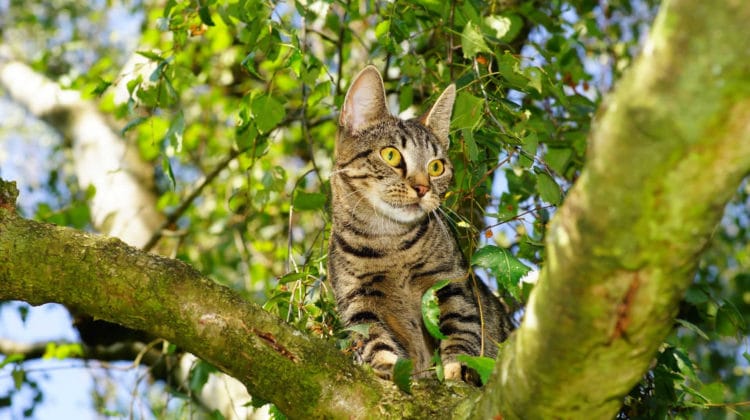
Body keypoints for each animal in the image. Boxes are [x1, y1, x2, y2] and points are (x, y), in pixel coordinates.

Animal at [330, 65, 516, 384]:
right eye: (390, 154)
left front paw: (459, 366)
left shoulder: (450, 281)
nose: (422, 188)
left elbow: (461, 325)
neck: (389, 243)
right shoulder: (358, 301)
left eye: (436, 167)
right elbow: (373, 338)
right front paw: (387, 364)